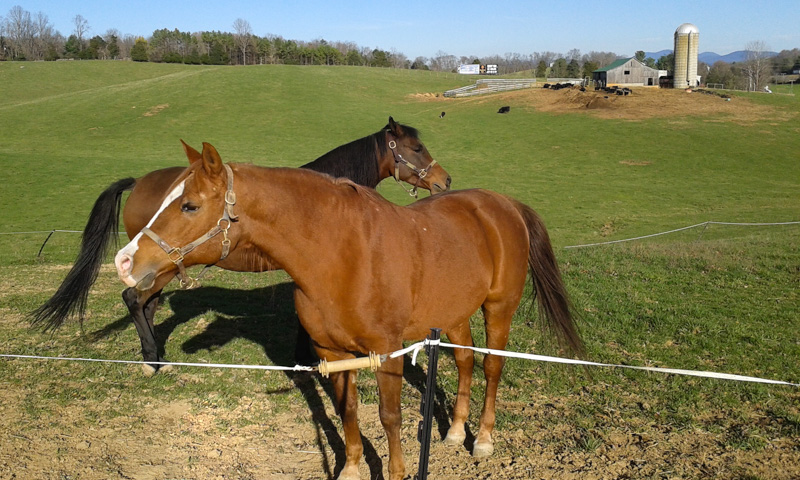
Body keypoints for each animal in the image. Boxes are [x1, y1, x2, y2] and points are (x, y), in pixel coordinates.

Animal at [32, 117, 450, 372]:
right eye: (416, 148)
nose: (444, 180)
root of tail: (138, 182)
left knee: (146, 305)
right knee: (134, 300)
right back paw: (152, 359)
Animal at [115, 141, 584, 478]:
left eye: (189, 205)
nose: (125, 260)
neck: (342, 254)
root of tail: (502, 203)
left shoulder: (386, 351)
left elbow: (390, 417)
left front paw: (396, 472)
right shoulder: (332, 352)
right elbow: (349, 411)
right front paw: (352, 469)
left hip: (498, 308)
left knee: (491, 367)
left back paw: (482, 439)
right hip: (453, 314)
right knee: (466, 361)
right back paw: (453, 431)